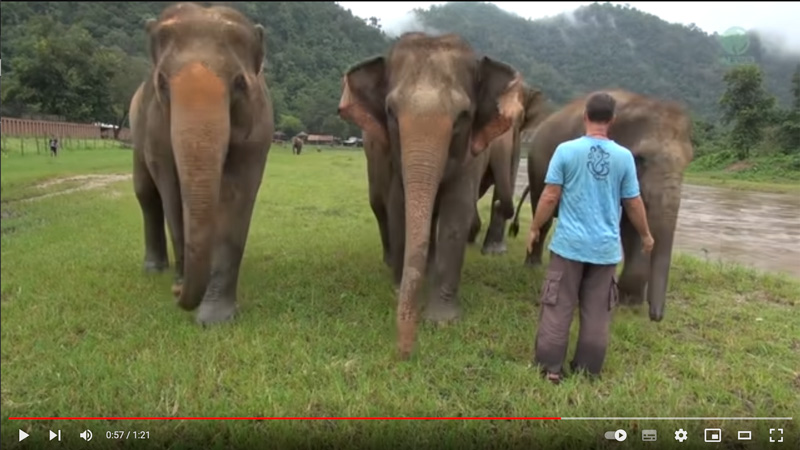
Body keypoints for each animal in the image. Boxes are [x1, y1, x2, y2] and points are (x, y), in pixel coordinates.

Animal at [128, 0, 272, 324]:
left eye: (240, 83)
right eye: (162, 83)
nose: (176, 294)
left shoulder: (258, 121)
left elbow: (239, 193)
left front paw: (215, 319)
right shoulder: (155, 125)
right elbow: (170, 189)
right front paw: (182, 283)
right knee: (146, 193)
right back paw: (156, 269)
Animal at [336, 32, 528, 358]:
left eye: (463, 115)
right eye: (390, 112)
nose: (404, 351)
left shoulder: (470, 155)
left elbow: (456, 214)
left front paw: (442, 321)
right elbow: (398, 207)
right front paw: (399, 289)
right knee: (379, 207)